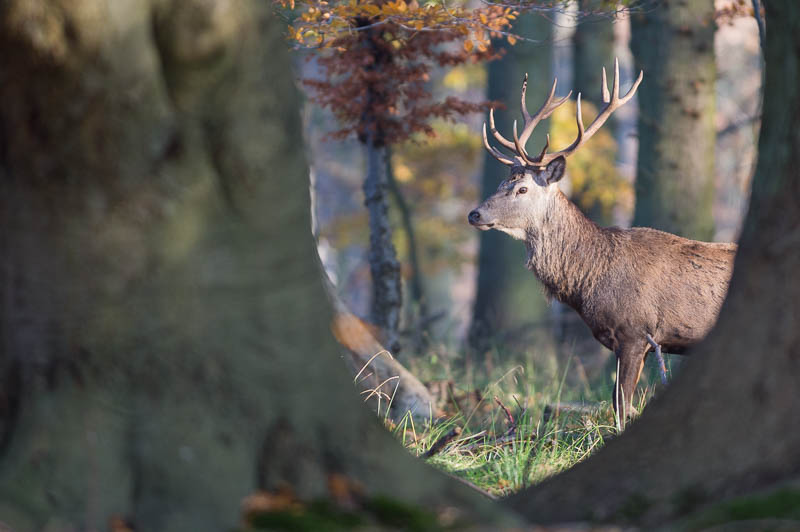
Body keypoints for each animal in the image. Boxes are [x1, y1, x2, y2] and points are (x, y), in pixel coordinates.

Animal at [468, 60, 736, 420]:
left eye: (522, 188)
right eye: (501, 182)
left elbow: (621, 404)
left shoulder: (637, 332)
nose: (474, 214)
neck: (590, 282)